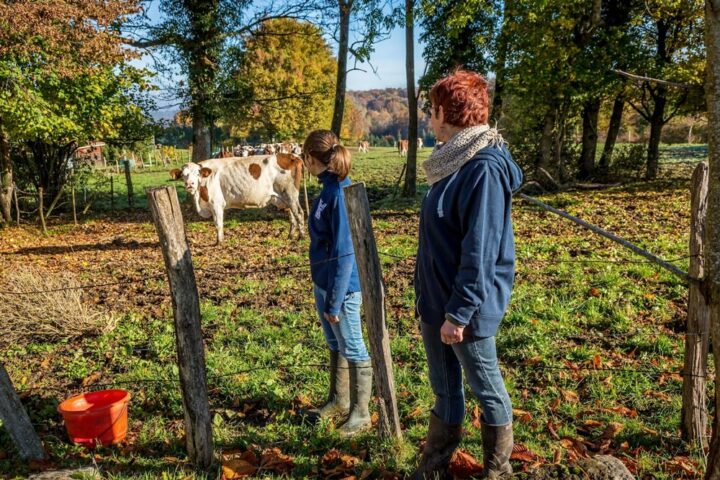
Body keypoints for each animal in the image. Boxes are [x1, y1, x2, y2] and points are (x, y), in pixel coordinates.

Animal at [171, 154, 304, 244]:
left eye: (197, 173)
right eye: (183, 175)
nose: (190, 184)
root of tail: (291, 156)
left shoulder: (216, 204)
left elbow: (218, 224)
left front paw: (219, 242)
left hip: (291, 194)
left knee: (299, 213)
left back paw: (301, 237)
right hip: (284, 198)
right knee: (292, 215)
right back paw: (290, 236)